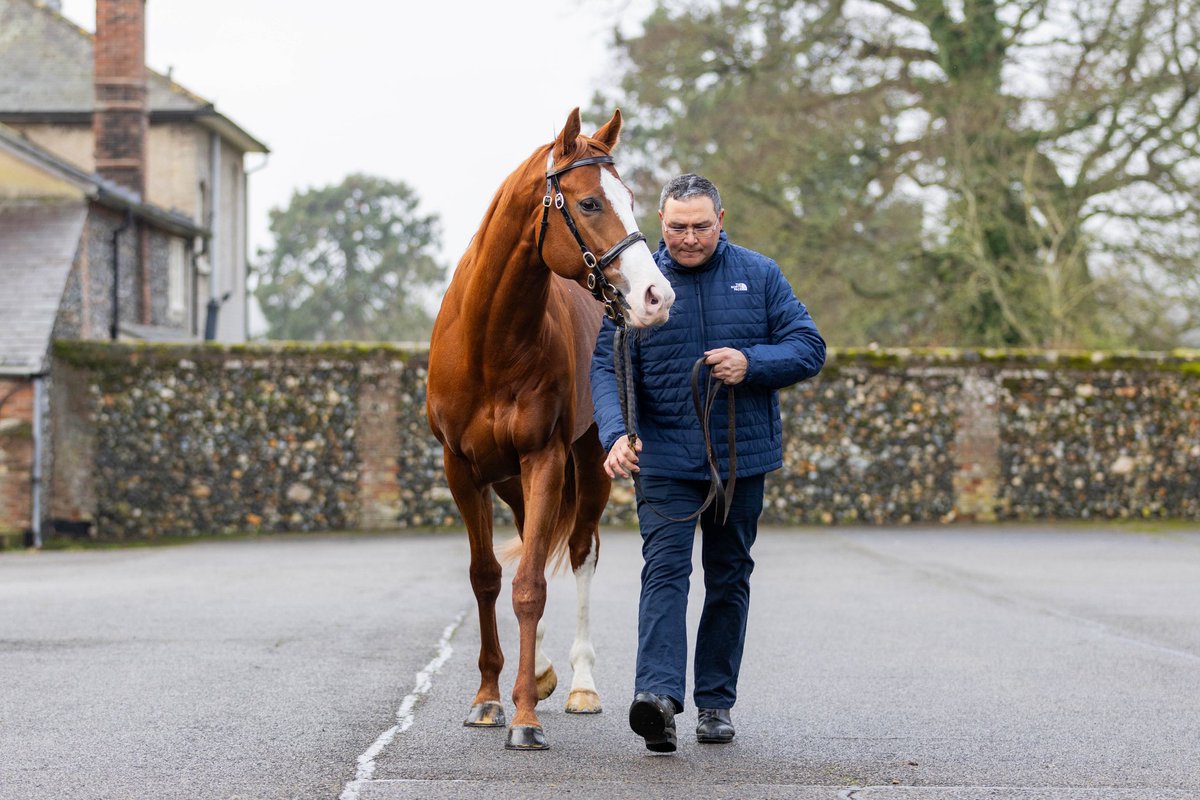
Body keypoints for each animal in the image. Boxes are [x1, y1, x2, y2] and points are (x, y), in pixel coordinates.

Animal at [426, 108, 675, 750]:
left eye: (631, 199)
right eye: (589, 203)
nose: (656, 296)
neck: (490, 340)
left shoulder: (545, 458)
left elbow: (531, 585)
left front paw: (523, 718)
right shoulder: (463, 471)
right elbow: (488, 577)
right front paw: (490, 697)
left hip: (585, 466)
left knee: (581, 552)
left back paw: (580, 685)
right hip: (512, 480)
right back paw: (536, 672)